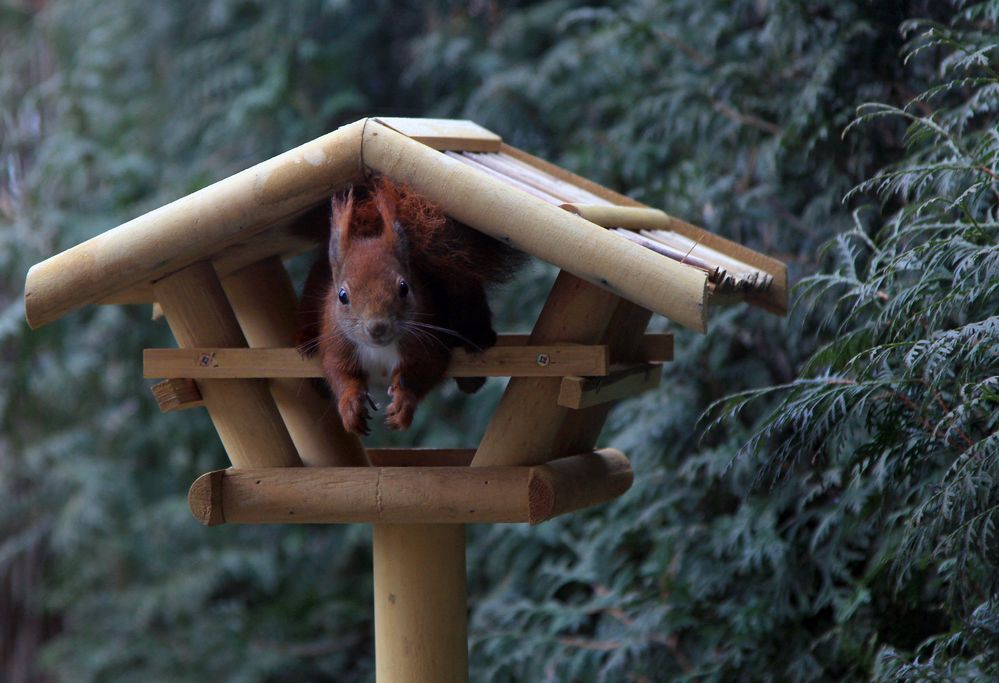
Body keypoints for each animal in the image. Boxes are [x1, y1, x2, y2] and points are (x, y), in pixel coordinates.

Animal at [296, 176, 528, 432]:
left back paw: (477, 348)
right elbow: (338, 371)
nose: (377, 327)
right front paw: (350, 406)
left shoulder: (427, 340)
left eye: (404, 287)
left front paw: (404, 402)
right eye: (342, 295)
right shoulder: (338, 342)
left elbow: (427, 368)